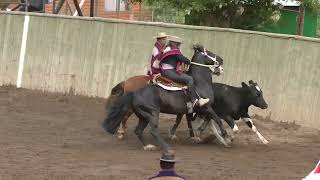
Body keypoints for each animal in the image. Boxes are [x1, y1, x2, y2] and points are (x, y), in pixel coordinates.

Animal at [102, 45, 230, 152]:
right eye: (209, 52)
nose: (222, 60)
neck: (199, 83)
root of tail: (134, 92)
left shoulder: (192, 110)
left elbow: (193, 120)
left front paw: (197, 134)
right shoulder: (206, 107)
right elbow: (216, 119)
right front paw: (226, 137)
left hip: (144, 116)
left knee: (138, 130)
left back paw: (147, 146)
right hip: (152, 113)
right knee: (151, 130)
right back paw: (165, 147)